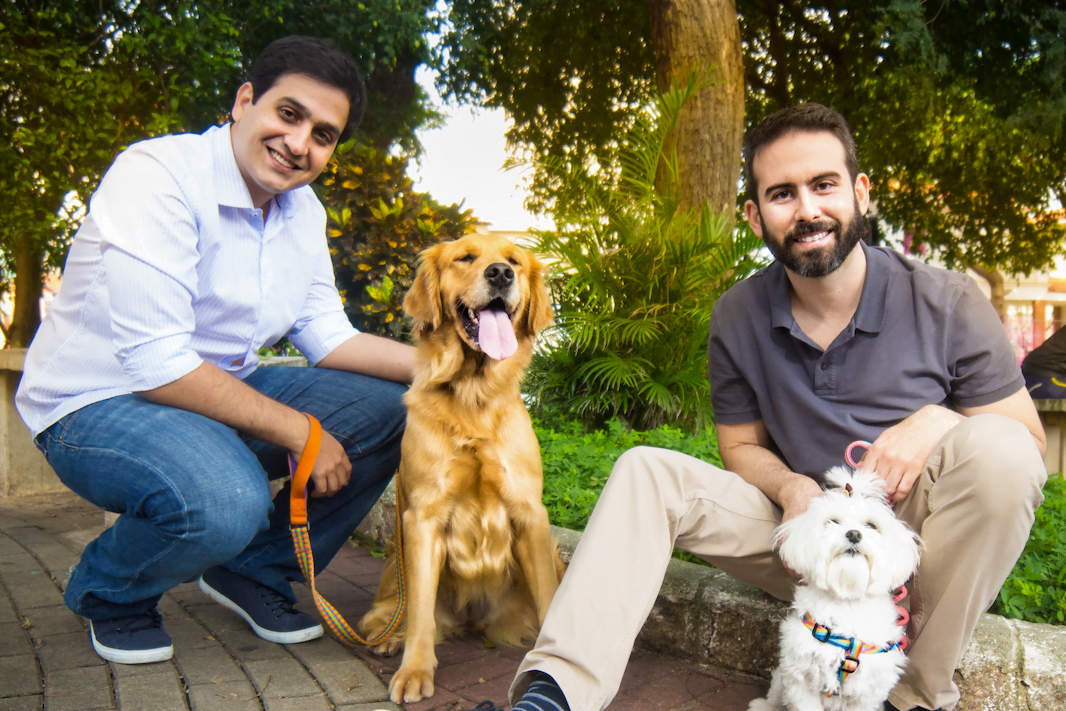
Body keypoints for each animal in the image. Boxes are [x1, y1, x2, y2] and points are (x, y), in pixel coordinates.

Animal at [746, 466, 921, 711]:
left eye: (871, 525)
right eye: (833, 522)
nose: (854, 533)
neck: (847, 602)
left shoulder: (867, 692)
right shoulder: (801, 679)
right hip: (783, 678)